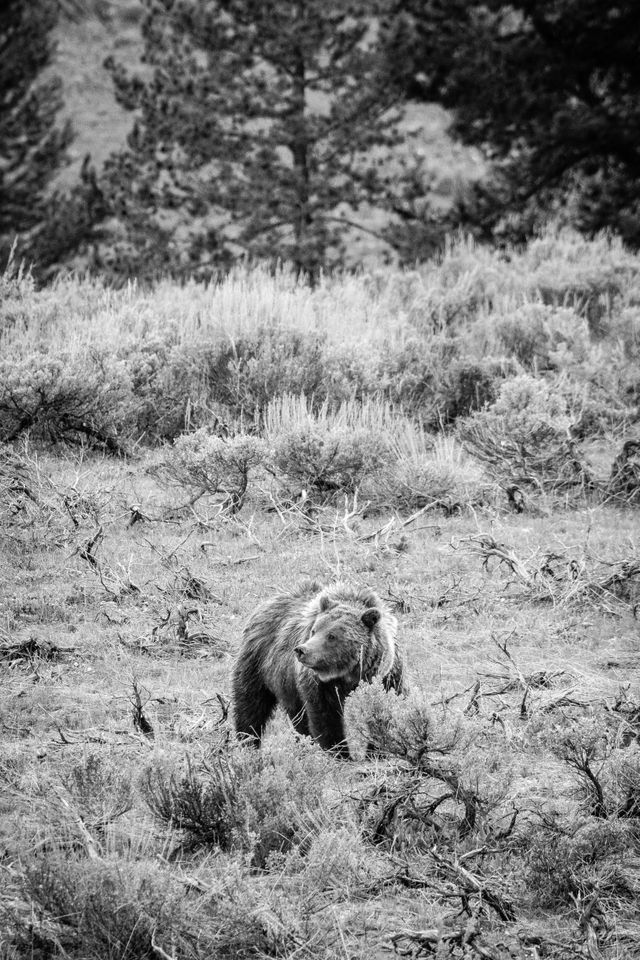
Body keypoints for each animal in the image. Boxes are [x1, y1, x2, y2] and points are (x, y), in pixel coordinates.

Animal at [231, 576, 404, 756]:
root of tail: (269, 601)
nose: (301, 650)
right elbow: (325, 716)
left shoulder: (387, 675)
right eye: (314, 630)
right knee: (251, 703)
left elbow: (386, 709)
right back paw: (248, 743)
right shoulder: (319, 684)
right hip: (258, 662)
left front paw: (377, 750)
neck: (349, 674)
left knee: (295, 717)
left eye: (332, 636)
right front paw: (338, 752)